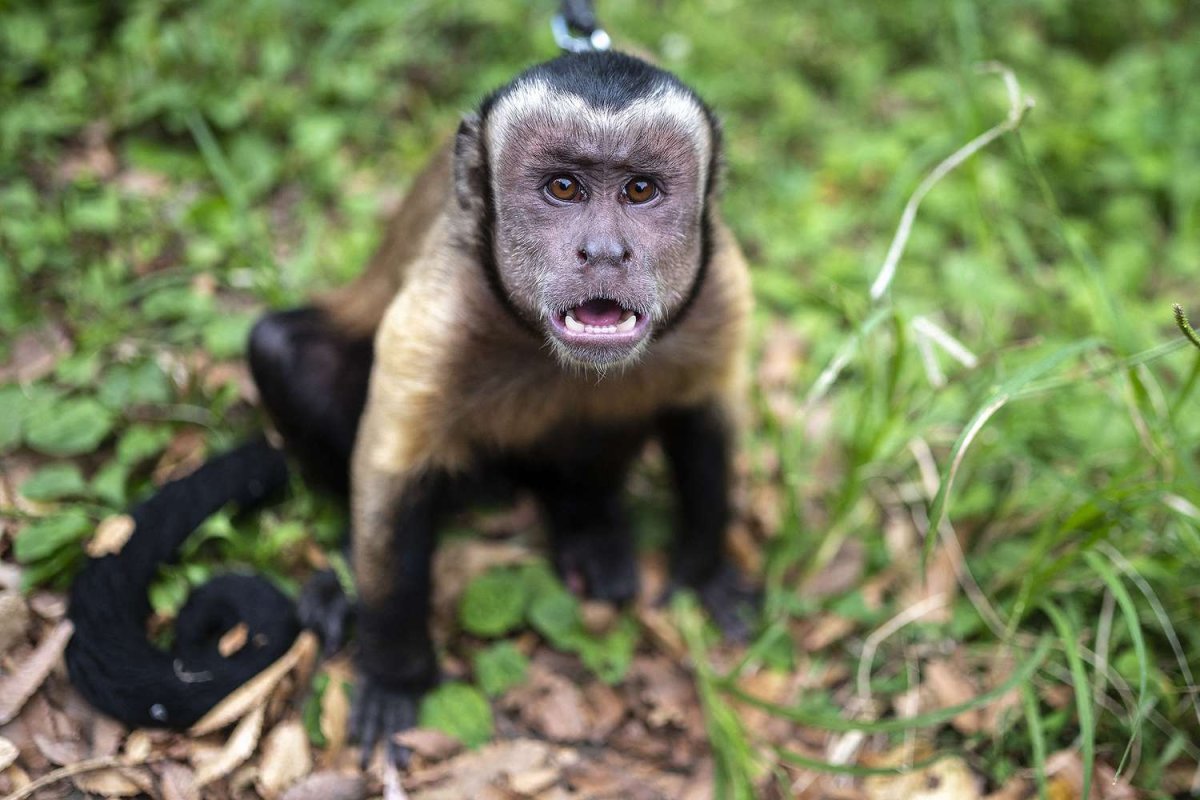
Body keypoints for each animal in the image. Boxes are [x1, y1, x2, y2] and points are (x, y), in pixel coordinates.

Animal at [66, 49, 757, 766]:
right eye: (564, 189)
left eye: (641, 191)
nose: (603, 252)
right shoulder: (441, 314)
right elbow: (391, 480)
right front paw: (398, 675)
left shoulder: (720, 290)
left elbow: (706, 420)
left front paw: (705, 572)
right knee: (283, 349)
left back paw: (586, 522)